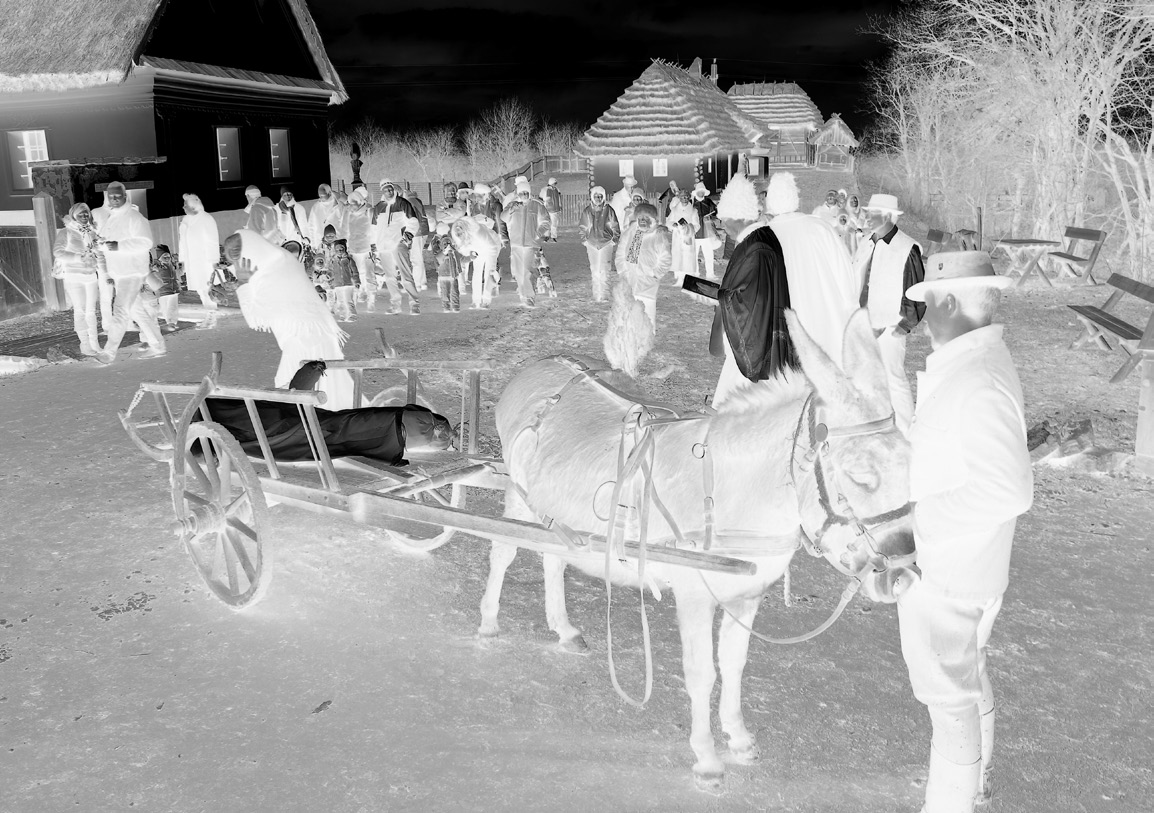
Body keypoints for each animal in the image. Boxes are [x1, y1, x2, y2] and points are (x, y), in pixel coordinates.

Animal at [473, 306, 913, 788]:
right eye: (860, 476)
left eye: (914, 463)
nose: (904, 574)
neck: (729, 492)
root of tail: (540, 364)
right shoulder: (694, 596)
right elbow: (701, 672)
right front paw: (706, 757)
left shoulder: (746, 595)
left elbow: (734, 665)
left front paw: (738, 737)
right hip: (518, 498)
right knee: (503, 553)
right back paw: (489, 622)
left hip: (556, 513)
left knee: (554, 558)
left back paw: (565, 629)